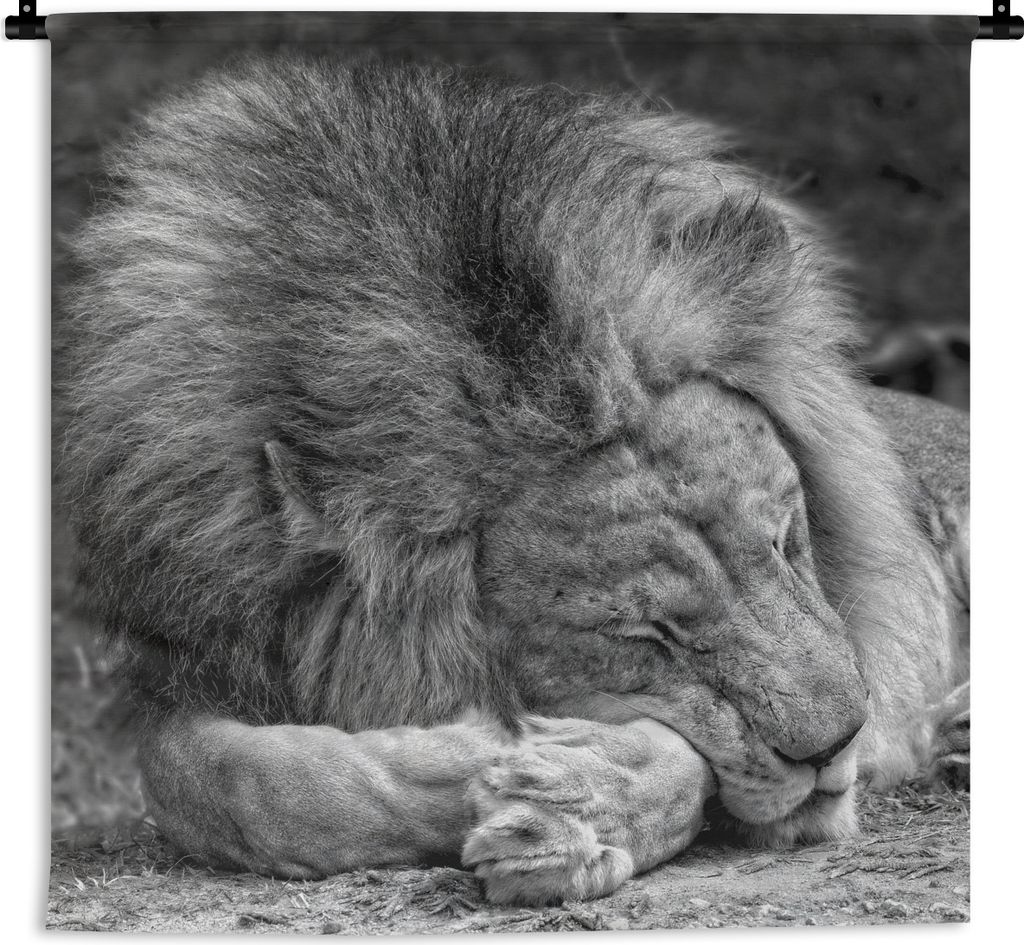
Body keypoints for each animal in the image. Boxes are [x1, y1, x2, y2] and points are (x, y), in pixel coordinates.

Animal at [55, 57, 969, 906]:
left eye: (784, 542)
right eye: (646, 632)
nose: (838, 741)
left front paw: (581, 799)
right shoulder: (194, 661)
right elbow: (229, 783)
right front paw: (470, 753)